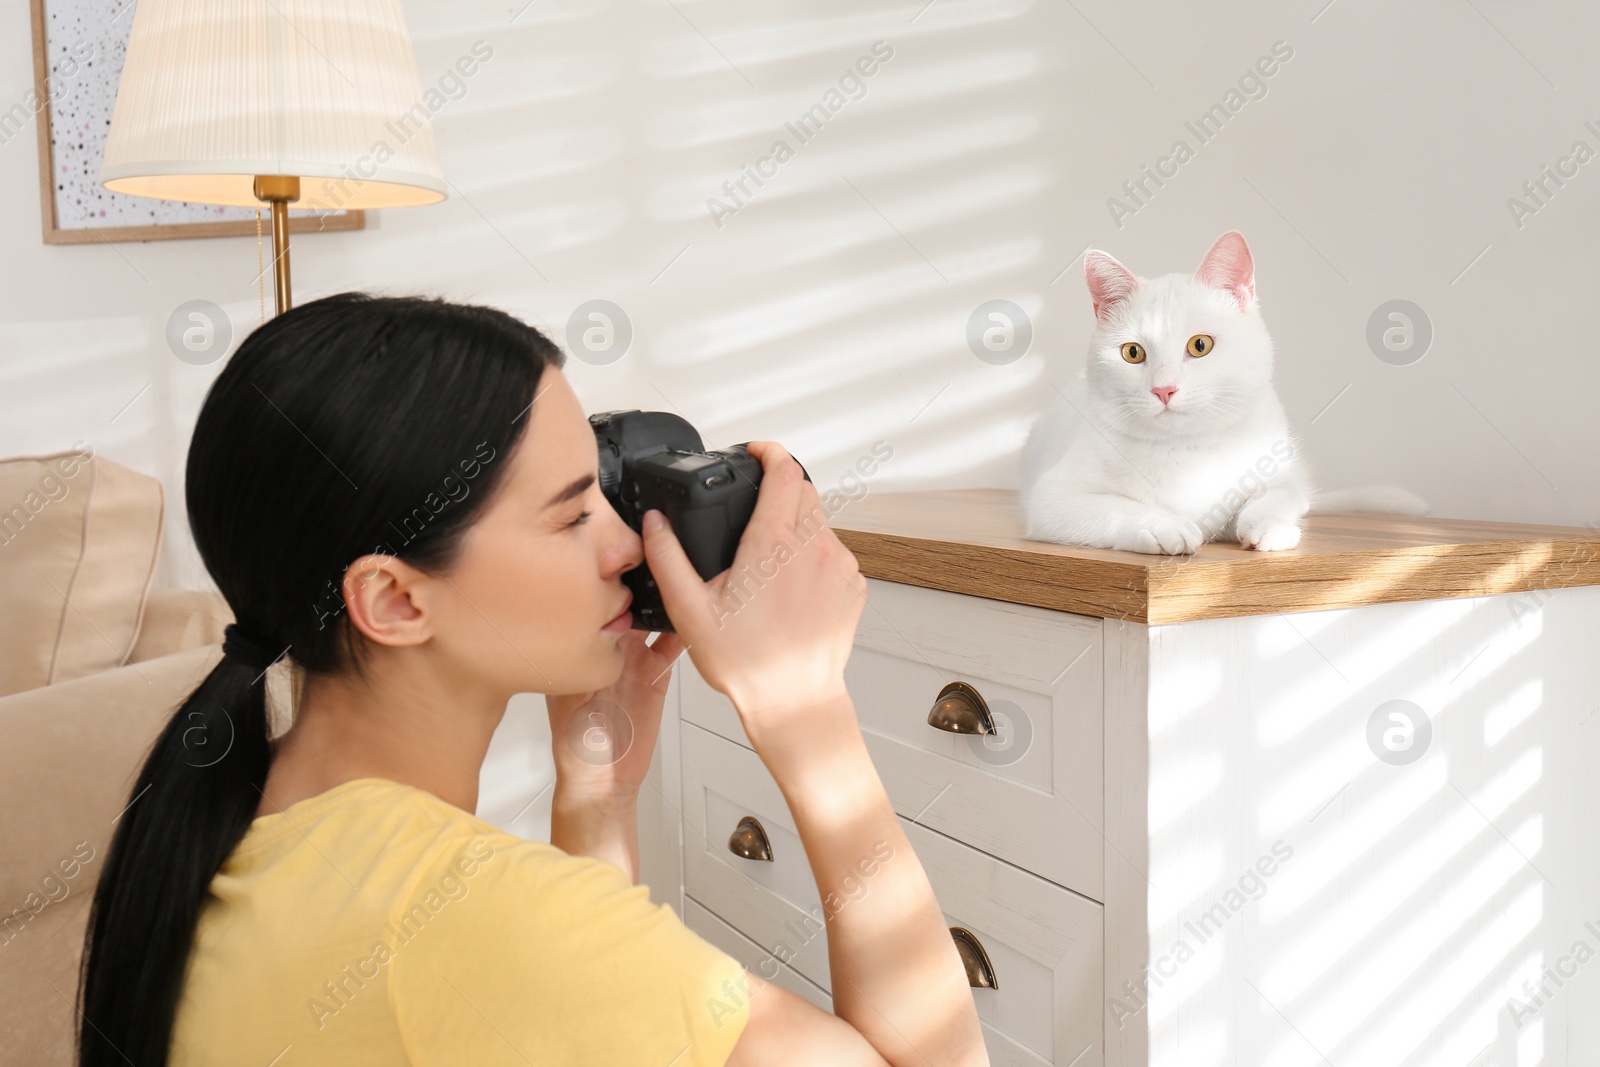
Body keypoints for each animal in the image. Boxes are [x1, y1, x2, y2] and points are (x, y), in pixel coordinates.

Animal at [1024, 230, 1427, 556]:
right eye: (1133, 353)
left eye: (1200, 345)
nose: (1163, 389)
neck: (1188, 452)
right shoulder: (1050, 500)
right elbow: (1115, 509)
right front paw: (1165, 526)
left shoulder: (1283, 476)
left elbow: (1275, 496)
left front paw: (1269, 526)